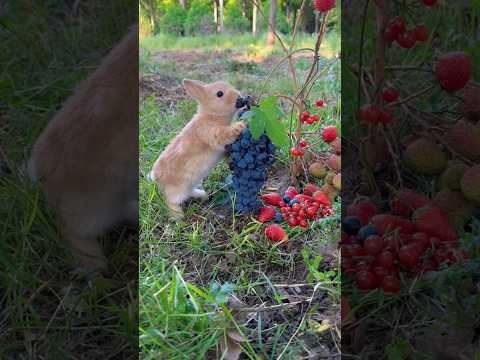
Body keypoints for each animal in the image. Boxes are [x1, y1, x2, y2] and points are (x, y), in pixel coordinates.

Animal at [149, 79, 248, 217]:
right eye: (219, 94)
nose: (240, 98)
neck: (212, 115)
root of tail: (155, 177)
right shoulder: (211, 133)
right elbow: (225, 134)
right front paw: (242, 124)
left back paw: (204, 195)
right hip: (176, 191)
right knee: (170, 201)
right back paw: (179, 217)